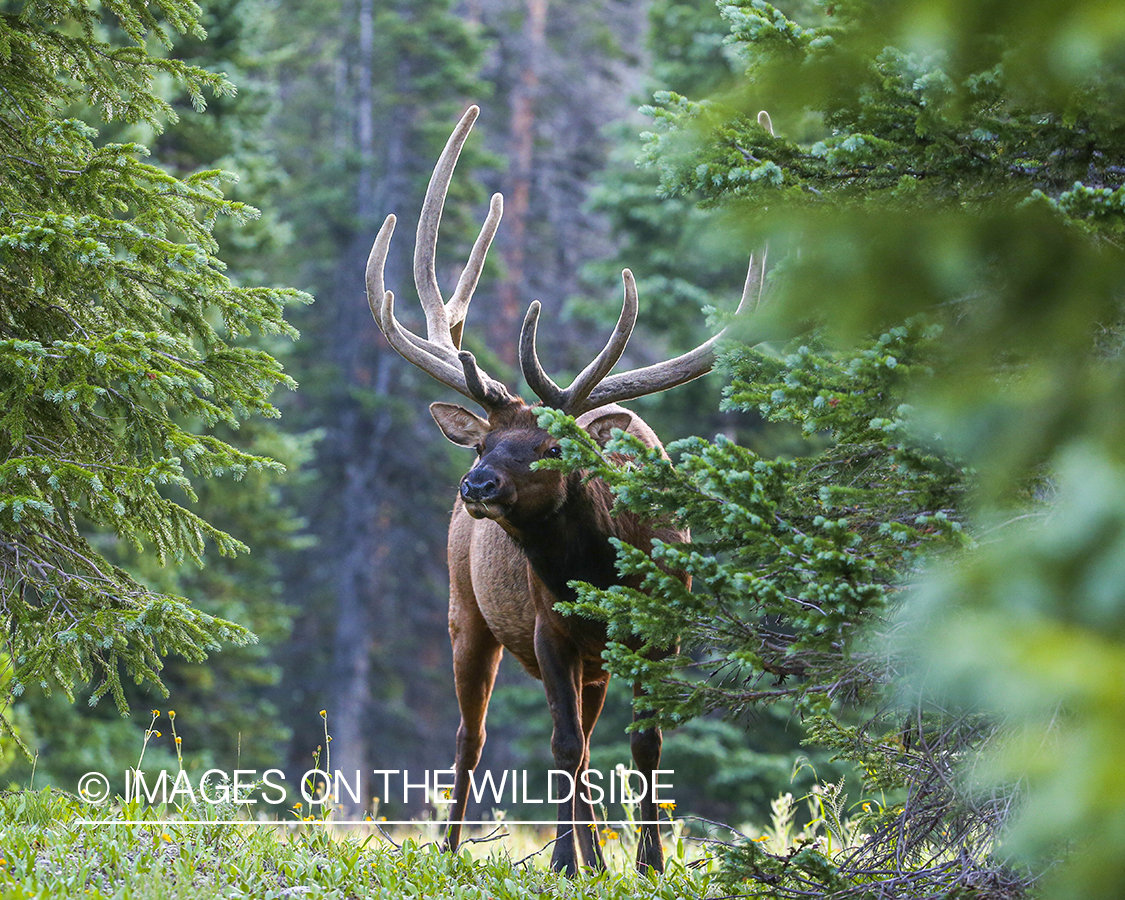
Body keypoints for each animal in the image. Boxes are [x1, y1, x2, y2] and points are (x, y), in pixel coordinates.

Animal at [364, 103, 760, 873]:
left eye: (552, 447)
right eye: (484, 442)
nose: (477, 484)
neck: (605, 569)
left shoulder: (657, 634)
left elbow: (643, 745)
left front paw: (644, 864)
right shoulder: (551, 629)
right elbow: (563, 744)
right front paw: (577, 865)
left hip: (589, 660)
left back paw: (587, 854)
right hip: (466, 614)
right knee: (475, 739)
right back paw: (459, 851)